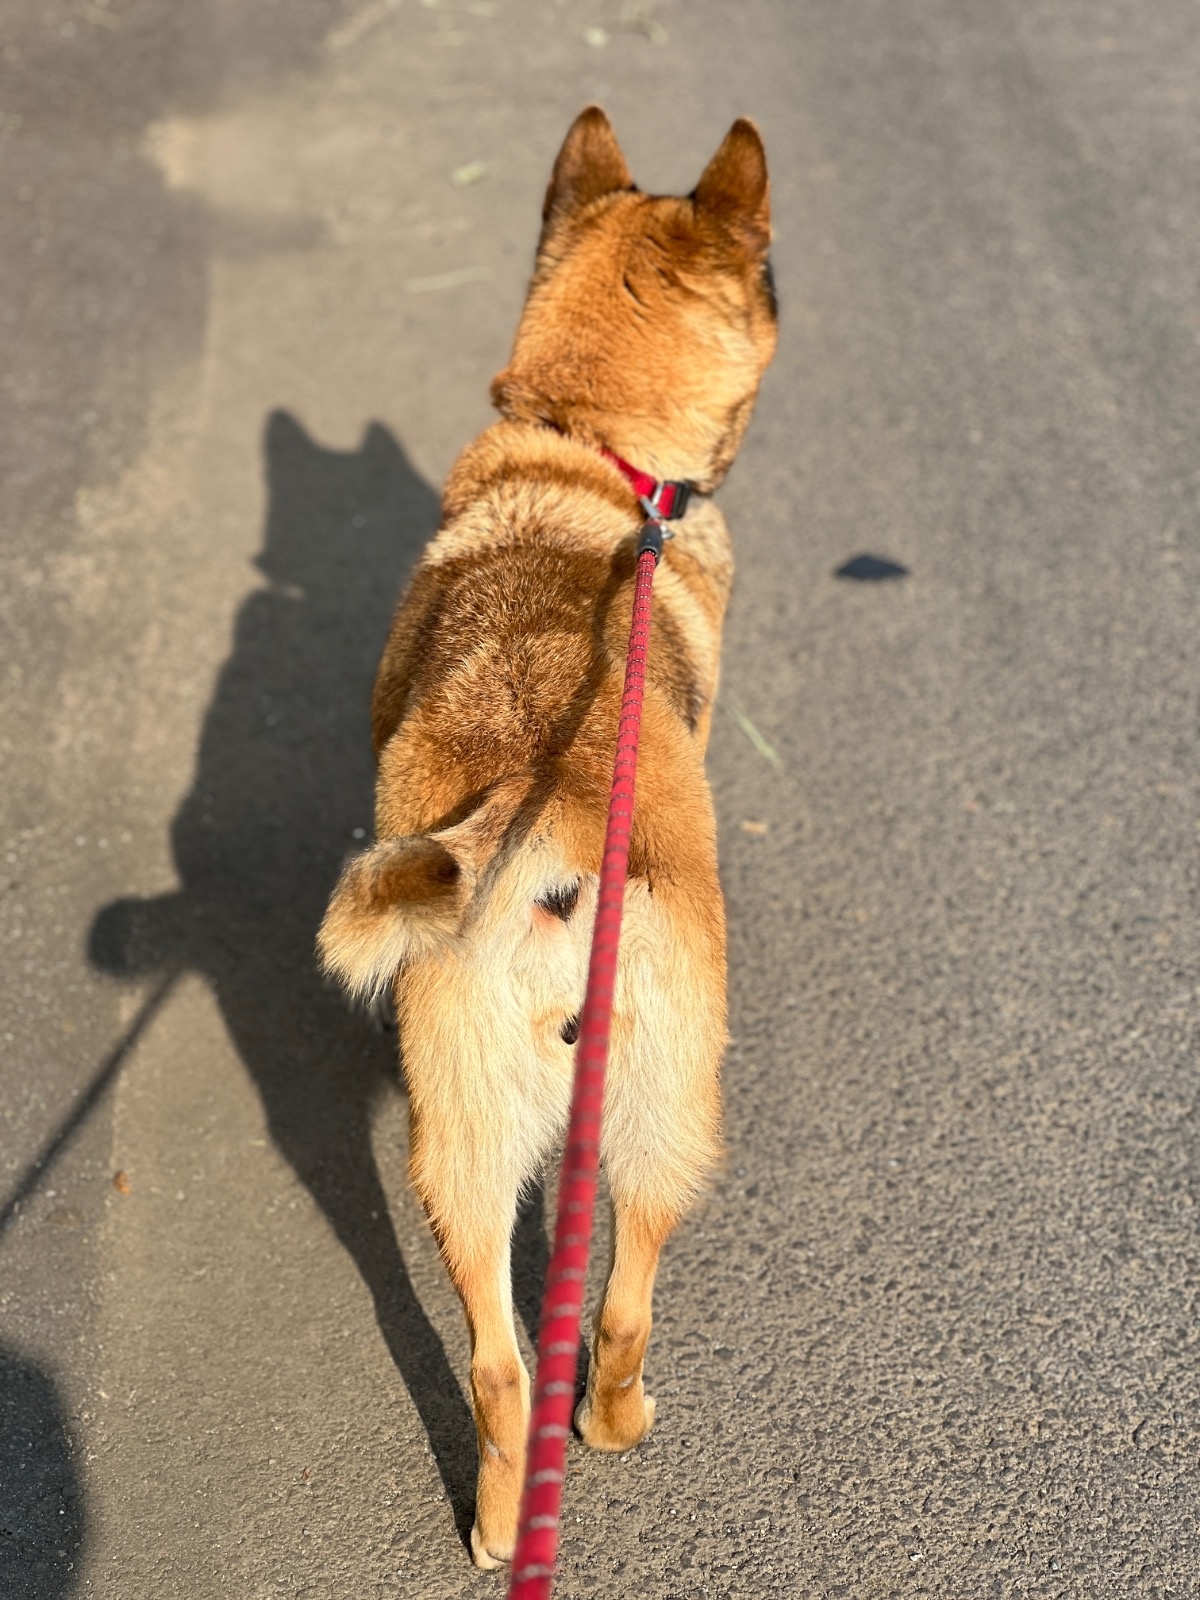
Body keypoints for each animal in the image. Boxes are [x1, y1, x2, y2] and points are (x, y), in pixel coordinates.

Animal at [315, 106, 780, 1568]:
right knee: (619, 1304)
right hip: (668, 1110)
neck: (588, 447)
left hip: (487, 1135)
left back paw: (504, 1507)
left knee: (508, 1360)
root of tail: (555, 839)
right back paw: (612, 1426)